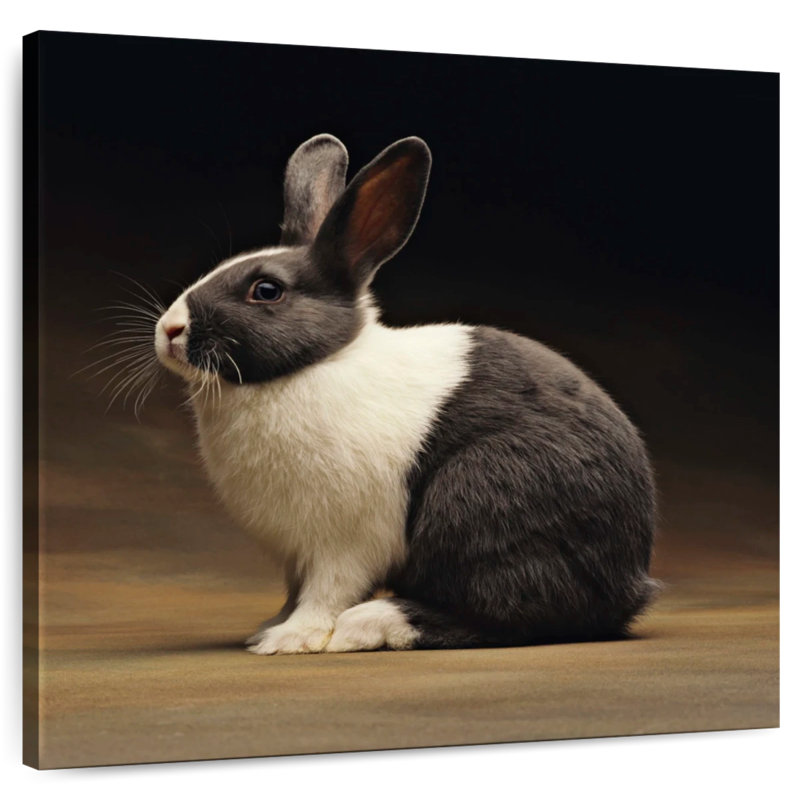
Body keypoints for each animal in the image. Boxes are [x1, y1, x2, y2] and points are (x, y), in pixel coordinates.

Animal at [154, 133, 658, 655]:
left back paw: (370, 624)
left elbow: (325, 593)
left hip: (480, 498)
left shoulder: (343, 544)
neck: (313, 366)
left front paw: (291, 639)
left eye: (267, 290)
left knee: (514, 611)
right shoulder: (298, 554)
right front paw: (269, 628)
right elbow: (295, 593)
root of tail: (629, 583)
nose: (169, 330)